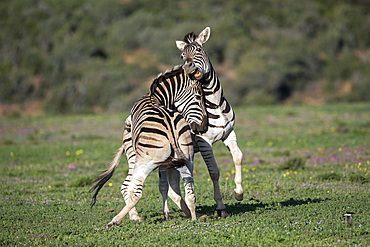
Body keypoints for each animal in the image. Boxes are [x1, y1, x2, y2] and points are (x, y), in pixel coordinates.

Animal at [88, 65, 207, 226]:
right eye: (199, 97)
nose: (203, 127)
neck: (155, 97)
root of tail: (170, 127)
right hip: (187, 159)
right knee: (190, 191)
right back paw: (194, 218)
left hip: (144, 162)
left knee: (133, 191)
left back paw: (119, 220)